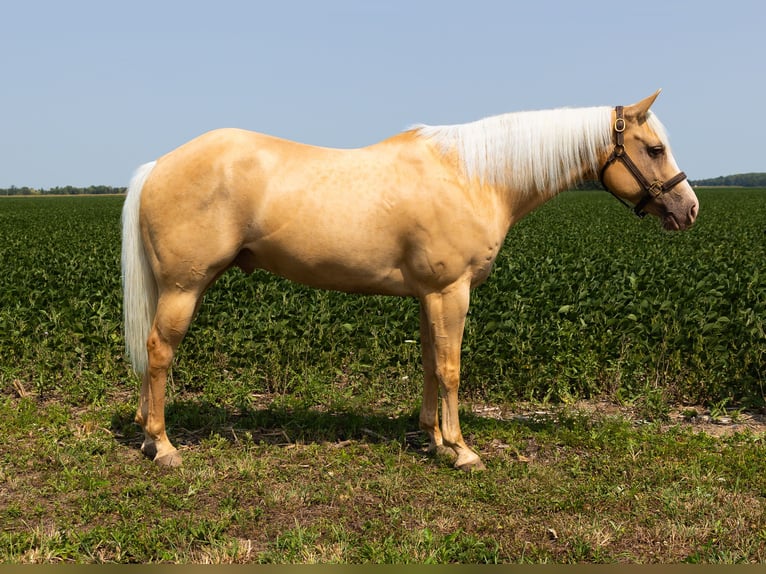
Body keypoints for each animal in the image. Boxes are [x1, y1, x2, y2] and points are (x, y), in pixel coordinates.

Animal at [123, 89, 700, 468]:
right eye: (654, 149)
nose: (689, 209)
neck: (473, 175)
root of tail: (156, 166)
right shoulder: (451, 292)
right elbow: (451, 369)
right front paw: (463, 451)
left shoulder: (429, 295)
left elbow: (428, 363)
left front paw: (434, 439)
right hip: (184, 288)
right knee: (159, 352)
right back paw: (164, 446)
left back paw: (149, 436)